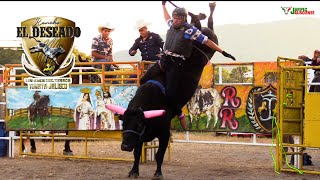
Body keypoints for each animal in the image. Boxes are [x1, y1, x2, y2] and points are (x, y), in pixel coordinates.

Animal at [106, 1, 234, 180]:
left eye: (138, 125)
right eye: (124, 123)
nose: (124, 146)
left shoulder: (164, 133)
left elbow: (159, 155)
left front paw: (158, 173)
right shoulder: (140, 138)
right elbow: (137, 153)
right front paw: (134, 171)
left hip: (208, 46)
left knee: (205, 30)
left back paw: (205, 14)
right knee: (200, 25)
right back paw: (199, 14)